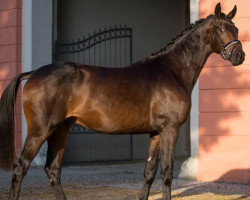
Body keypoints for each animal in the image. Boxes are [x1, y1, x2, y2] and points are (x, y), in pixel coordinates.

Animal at [0, 3, 245, 200]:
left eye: (236, 28)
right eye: (222, 29)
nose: (239, 56)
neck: (172, 70)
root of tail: (33, 73)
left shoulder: (156, 133)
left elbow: (149, 173)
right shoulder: (170, 129)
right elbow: (166, 173)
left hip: (60, 129)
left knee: (52, 170)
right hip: (41, 130)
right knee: (20, 167)